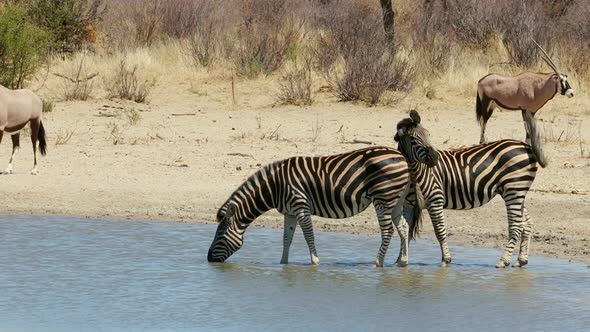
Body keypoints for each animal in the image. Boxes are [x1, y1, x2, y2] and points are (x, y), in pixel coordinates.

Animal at [207, 147, 420, 266]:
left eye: (219, 234)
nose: (208, 259)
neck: (276, 186)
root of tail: (402, 156)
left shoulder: (301, 206)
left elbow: (309, 235)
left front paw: (315, 262)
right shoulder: (289, 212)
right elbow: (287, 239)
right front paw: (283, 264)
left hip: (382, 198)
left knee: (388, 231)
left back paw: (378, 263)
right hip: (396, 200)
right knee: (403, 226)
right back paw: (403, 262)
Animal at [396, 110, 548, 268]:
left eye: (428, 135)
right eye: (413, 138)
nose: (434, 158)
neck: (416, 172)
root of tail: (525, 146)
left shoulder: (435, 199)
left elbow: (439, 231)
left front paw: (445, 260)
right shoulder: (408, 205)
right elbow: (405, 231)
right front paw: (401, 260)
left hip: (514, 189)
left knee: (516, 226)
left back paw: (503, 260)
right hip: (517, 191)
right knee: (527, 224)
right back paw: (521, 259)